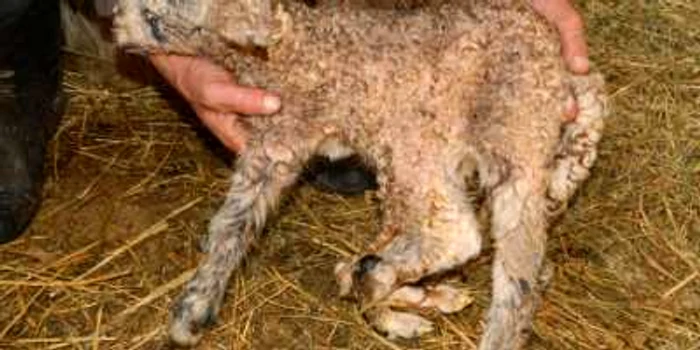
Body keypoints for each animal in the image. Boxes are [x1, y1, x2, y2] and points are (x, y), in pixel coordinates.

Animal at [113, 1, 608, 348]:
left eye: (154, 18)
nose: (114, 21)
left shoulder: (281, 136)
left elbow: (233, 221)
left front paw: (192, 309)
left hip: (457, 133)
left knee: (466, 239)